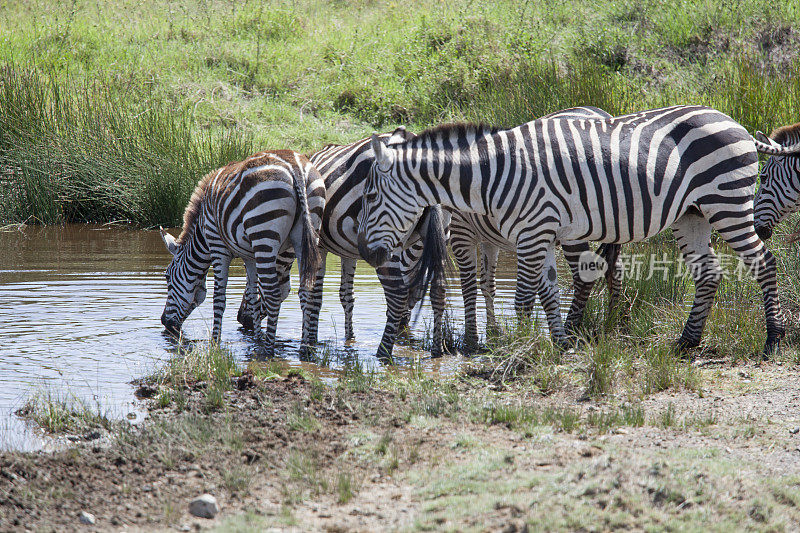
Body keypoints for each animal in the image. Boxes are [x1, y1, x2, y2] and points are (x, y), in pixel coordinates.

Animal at [158, 148, 324, 352]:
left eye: (167, 277)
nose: (165, 323)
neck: (201, 234)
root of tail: (295, 166)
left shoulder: (218, 247)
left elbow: (219, 299)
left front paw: (215, 342)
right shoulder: (250, 256)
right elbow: (252, 296)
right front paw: (256, 338)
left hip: (264, 233)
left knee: (273, 295)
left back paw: (268, 350)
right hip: (307, 233)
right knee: (307, 292)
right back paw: (305, 349)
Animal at [238, 131, 450, 360]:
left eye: (251, 281)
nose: (241, 320)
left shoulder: (318, 246)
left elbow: (314, 296)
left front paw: (310, 342)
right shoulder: (348, 250)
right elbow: (346, 296)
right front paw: (349, 339)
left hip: (386, 238)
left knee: (397, 295)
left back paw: (383, 352)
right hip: (438, 234)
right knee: (438, 288)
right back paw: (437, 350)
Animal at [360, 104, 788, 356]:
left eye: (368, 197)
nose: (367, 254)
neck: (490, 175)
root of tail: (734, 121)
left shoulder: (530, 234)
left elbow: (522, 298)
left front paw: (521, 350)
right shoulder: (543, 233)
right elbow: (549, 291)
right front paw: (561, 344)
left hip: (726, 202)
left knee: (764, 263)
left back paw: (773, 338)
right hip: (692, 214)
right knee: (708, 274)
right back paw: (685, 342)